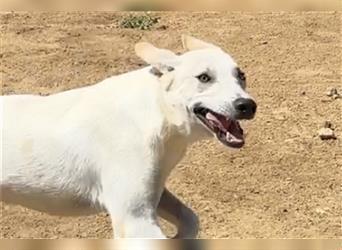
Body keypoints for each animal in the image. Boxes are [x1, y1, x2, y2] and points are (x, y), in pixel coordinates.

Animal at [0, 35, 256, 238]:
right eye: (204, 78)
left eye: (241, 75)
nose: (248, 105)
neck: (156, 112)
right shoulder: (134, 218)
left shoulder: (154, 194)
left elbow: (191, 219)